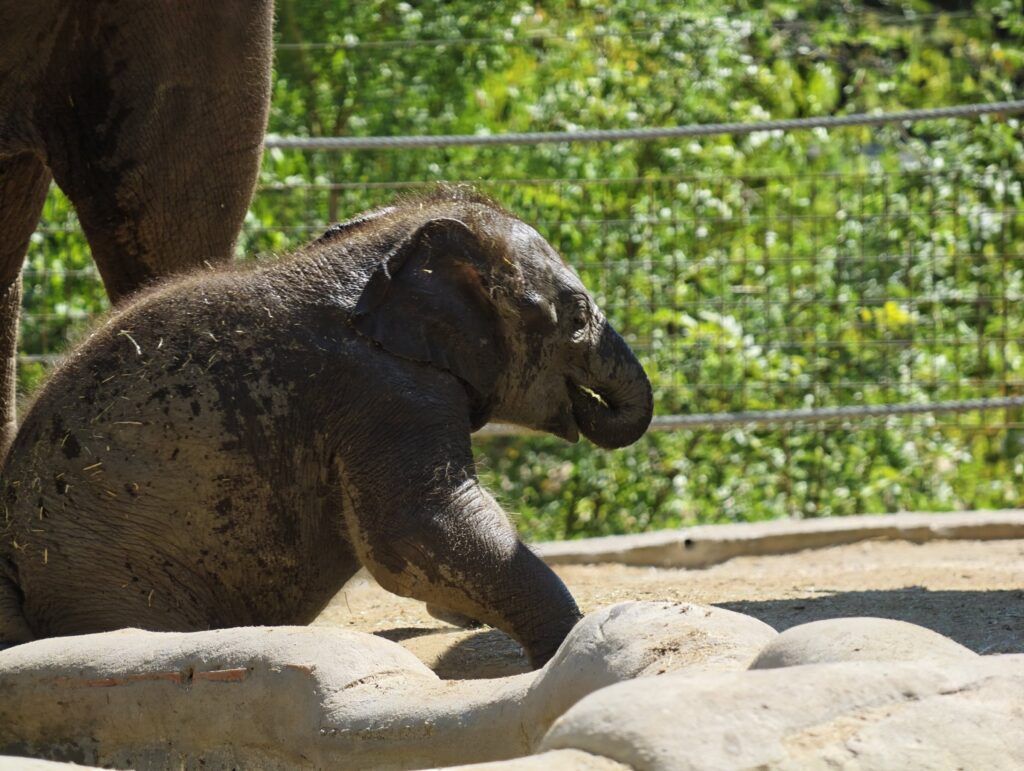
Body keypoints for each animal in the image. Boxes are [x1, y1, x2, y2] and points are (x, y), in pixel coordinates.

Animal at [0, 189, 654, 667]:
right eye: (576, 317)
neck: (390, 250)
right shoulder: (384, 393)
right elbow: (416, 529)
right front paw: (566, 645)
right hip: (106, 573)